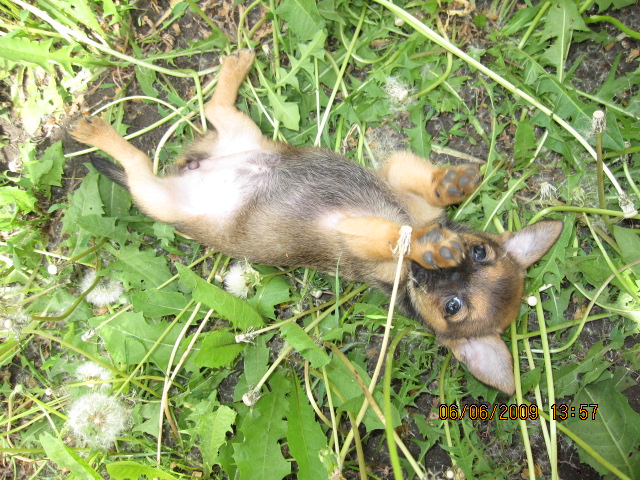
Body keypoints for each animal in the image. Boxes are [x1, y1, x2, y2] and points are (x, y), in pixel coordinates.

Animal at [70, 50, 562, 394]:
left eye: (453, 307)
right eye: (479, 250)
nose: (447, 267)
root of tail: (196, 161)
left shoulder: (359, 235)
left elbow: (398, 237)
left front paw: (427, 245)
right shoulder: (398, 181)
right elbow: (418, 200)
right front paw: (452, 183)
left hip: (158, 198)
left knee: (147, 157)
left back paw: (96, 132)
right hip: (241, 136)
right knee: (213, 108)